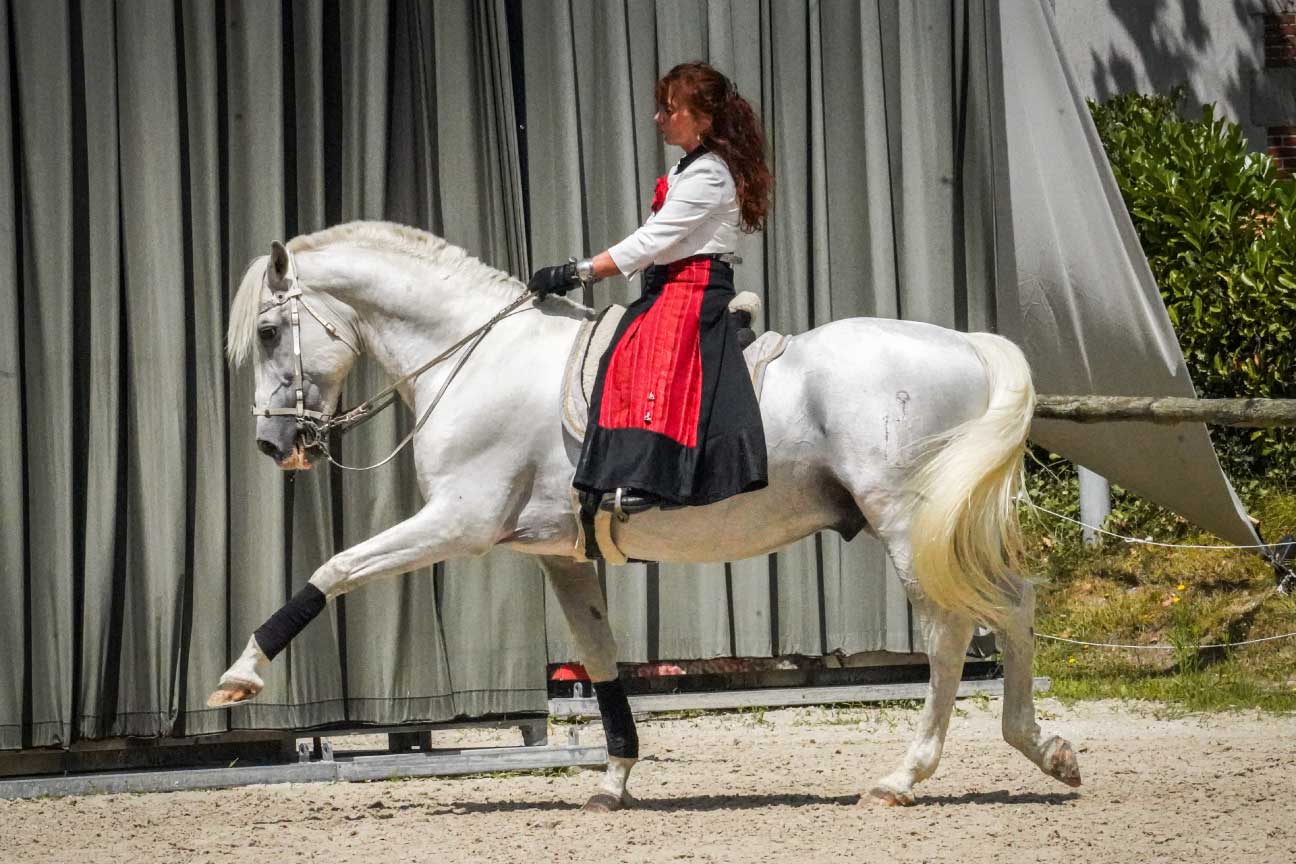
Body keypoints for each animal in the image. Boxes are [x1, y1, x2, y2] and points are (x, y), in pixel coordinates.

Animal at [212, 220, 1083, 808]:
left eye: (269, 330)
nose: (271, 443)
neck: (477, 354)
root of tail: (966, 345)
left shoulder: (459, 521)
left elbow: (336, 567)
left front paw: (240, 676)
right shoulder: (558, 555)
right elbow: (599, 658)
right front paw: (615, 778)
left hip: (906, 524)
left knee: (948, 636)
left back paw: (904, 777)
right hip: (940, 531)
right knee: (1014, 608)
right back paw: (1044, 750)